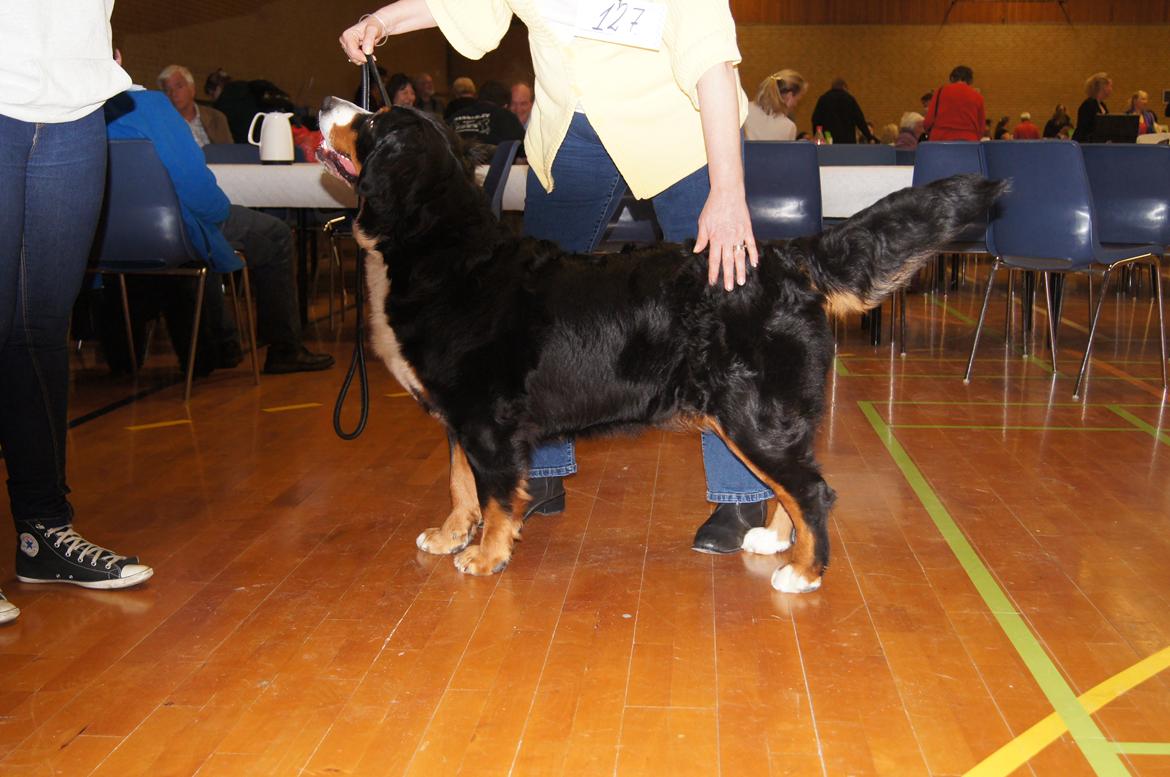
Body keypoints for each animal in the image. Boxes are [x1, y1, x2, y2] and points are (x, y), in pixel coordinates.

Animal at [320, 98, 1006, 594]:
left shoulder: (486, 417)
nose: (327, 104)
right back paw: (774, 540)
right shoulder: (458, 415)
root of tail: (783, 257)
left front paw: (486, 555)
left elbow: (492, 491)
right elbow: (461, 483)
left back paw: (804, 573)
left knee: (812, 489)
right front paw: (449, 536)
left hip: (751, 412)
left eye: (371, 122)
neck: (441, 246)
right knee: (795, 481)